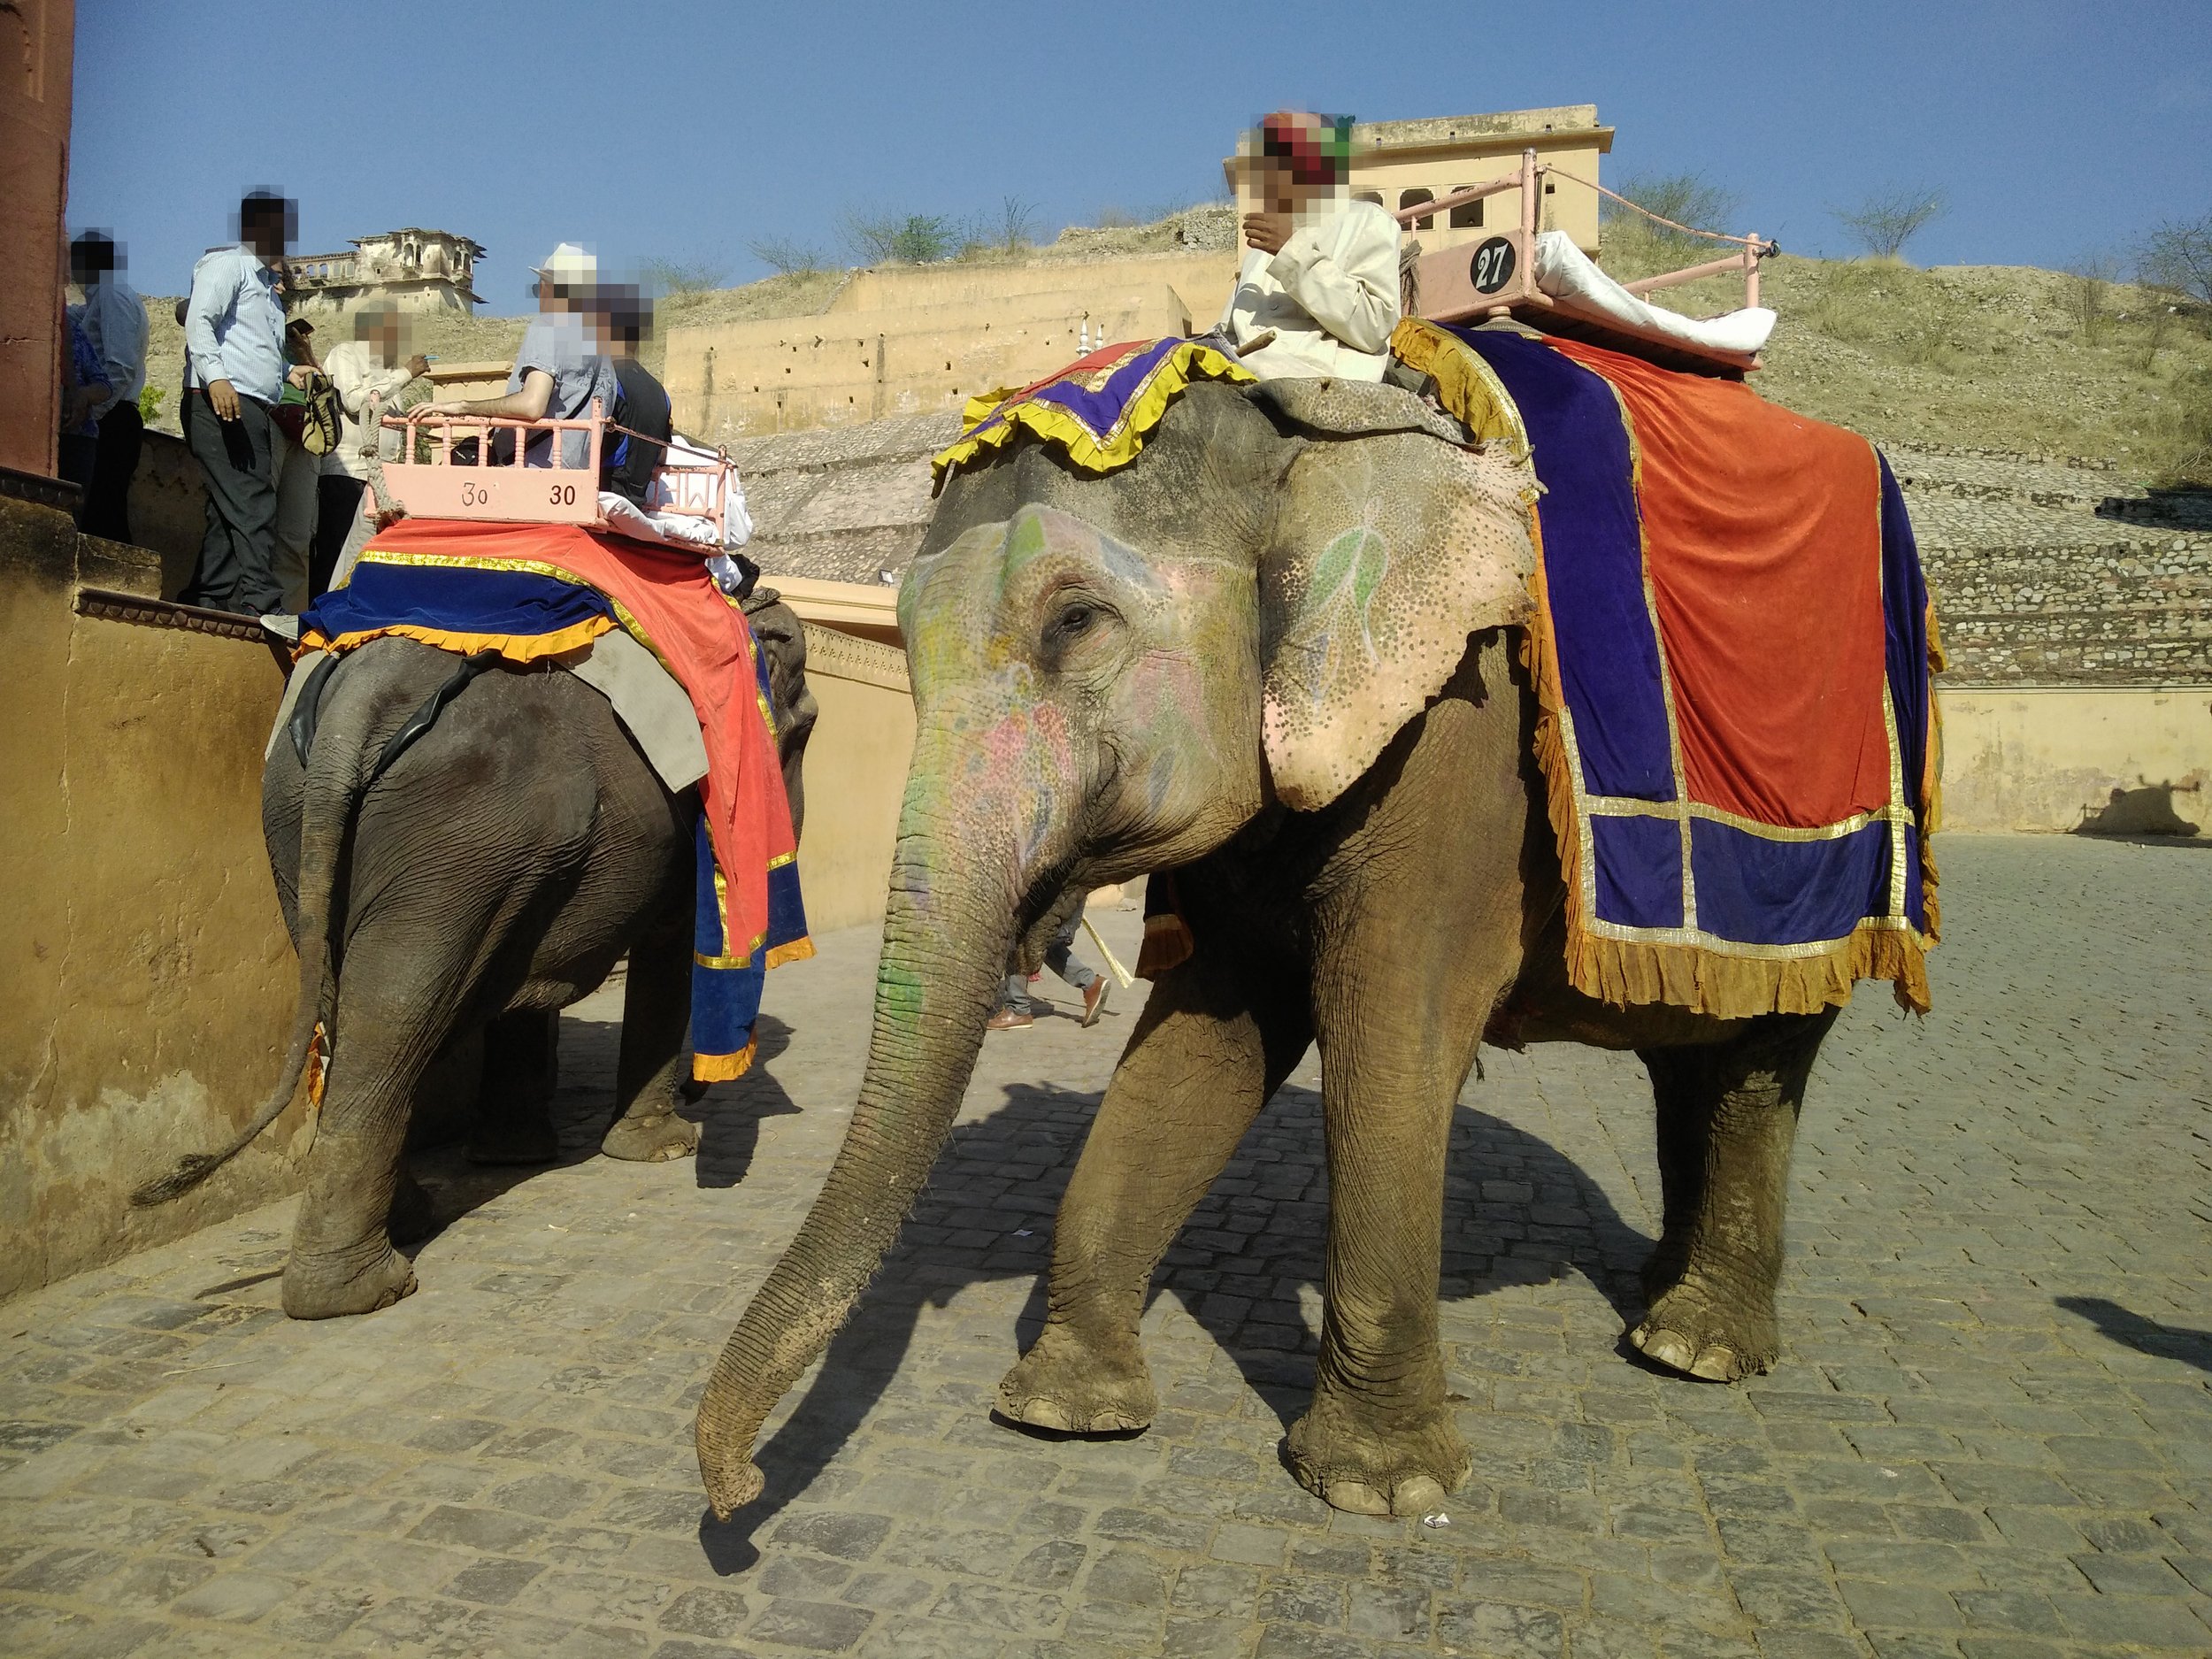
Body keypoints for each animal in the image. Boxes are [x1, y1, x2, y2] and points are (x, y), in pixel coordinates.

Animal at [134, 590, 815, 1322]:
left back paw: (403, 1228)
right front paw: (662, 1149)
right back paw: (372, 1288)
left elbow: (527, 983)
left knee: (357, 1006)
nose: (696, 1089)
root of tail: (354, 704)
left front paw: (518, 1156)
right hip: (454, 837)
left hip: (313, 826)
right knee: (398, 1012)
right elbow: (664, 944)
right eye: (807, 728)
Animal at [693, 373, 1874, 1522]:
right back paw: (1657, 1299)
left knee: (1758, 1065)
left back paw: (1692, 1346)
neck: (1291, 431)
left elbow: (1393, 1042)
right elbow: (1199, 1050)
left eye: (1075, 621)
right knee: (1693, 1060)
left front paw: (1377, 1486)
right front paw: (1067, 1412)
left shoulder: (1458, 746)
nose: (734, 1492)